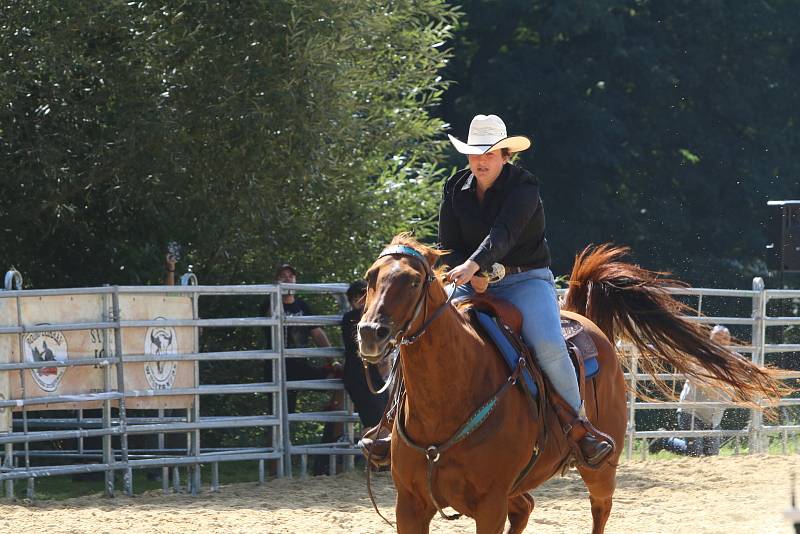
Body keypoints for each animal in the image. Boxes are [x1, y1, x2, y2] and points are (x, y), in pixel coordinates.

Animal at [360, 236, 784, 534]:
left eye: (413, 281)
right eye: (369, 278)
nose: (370, 332)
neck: (450, 397)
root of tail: (582, 318)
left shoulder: (489, 505)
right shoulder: (410, 505)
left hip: (600, 469)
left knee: (600, 510)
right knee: (527, 508)